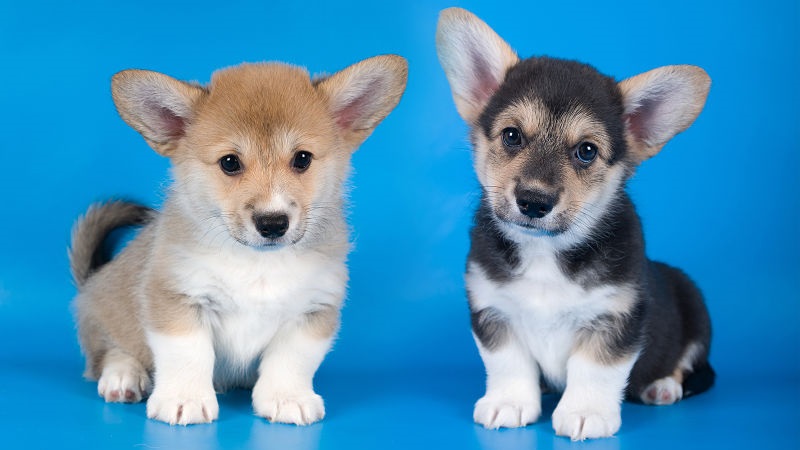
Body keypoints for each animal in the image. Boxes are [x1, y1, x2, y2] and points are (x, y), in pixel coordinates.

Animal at [69, 56, 406, 426]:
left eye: (302, 158)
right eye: (230, 163)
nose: (273, 223)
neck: (259, 263)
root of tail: (91, 282)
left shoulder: (312, 311)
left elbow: (291, 360)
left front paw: (287, 398)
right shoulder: (177, 301)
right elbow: (189, 353)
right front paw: (184, 398)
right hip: (108, 316)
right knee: (108, 352)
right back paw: (124, 377)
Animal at [438, 7, 712, 442]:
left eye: (586, 151)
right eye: (512, 135)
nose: (533, 202)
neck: (545, 252)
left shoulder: (616, 316)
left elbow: (594, 369)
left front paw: (586, 412)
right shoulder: (494, 311)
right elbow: (508, 364)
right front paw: (508, 403)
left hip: (695, 306)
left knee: (685, 363)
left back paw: (663, 386)